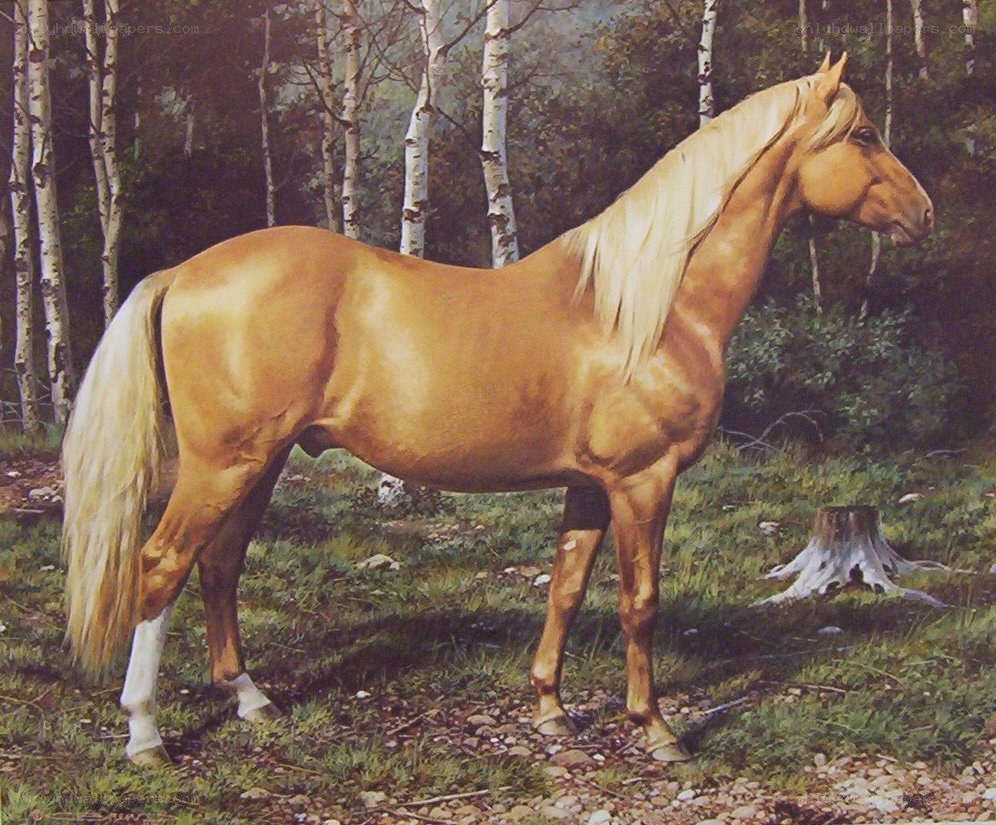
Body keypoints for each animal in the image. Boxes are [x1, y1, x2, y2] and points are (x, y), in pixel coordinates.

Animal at [61, 54, 933, 766]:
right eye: (863, 133)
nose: (924, 213)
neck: (650, 307)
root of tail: (183, 271)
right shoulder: (643, 481)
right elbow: (640, 603)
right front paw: (657, 729)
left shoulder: (590, 485)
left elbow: (566, 589)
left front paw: (550, 709)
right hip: (223, 463)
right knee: (160, 565)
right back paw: (145, 734)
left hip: (260, 462)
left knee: (218, 564)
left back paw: (251, 699)